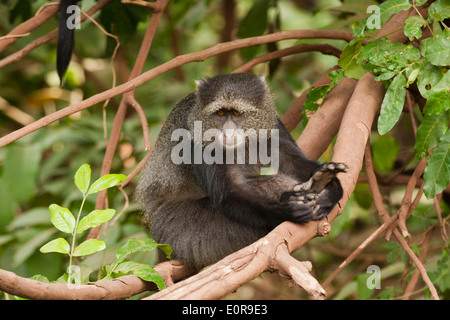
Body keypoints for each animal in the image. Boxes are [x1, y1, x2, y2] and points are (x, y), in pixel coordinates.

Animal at [137, 74, 348, 274]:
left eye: (237, 114)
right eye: (221, 113)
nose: (228, 132)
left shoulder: (271, 121)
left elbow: (290, 160)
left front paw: (333, 188)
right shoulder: (194, 134)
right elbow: (230, 192)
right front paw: (286, 210)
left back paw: (320, 182)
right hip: (187, 232)